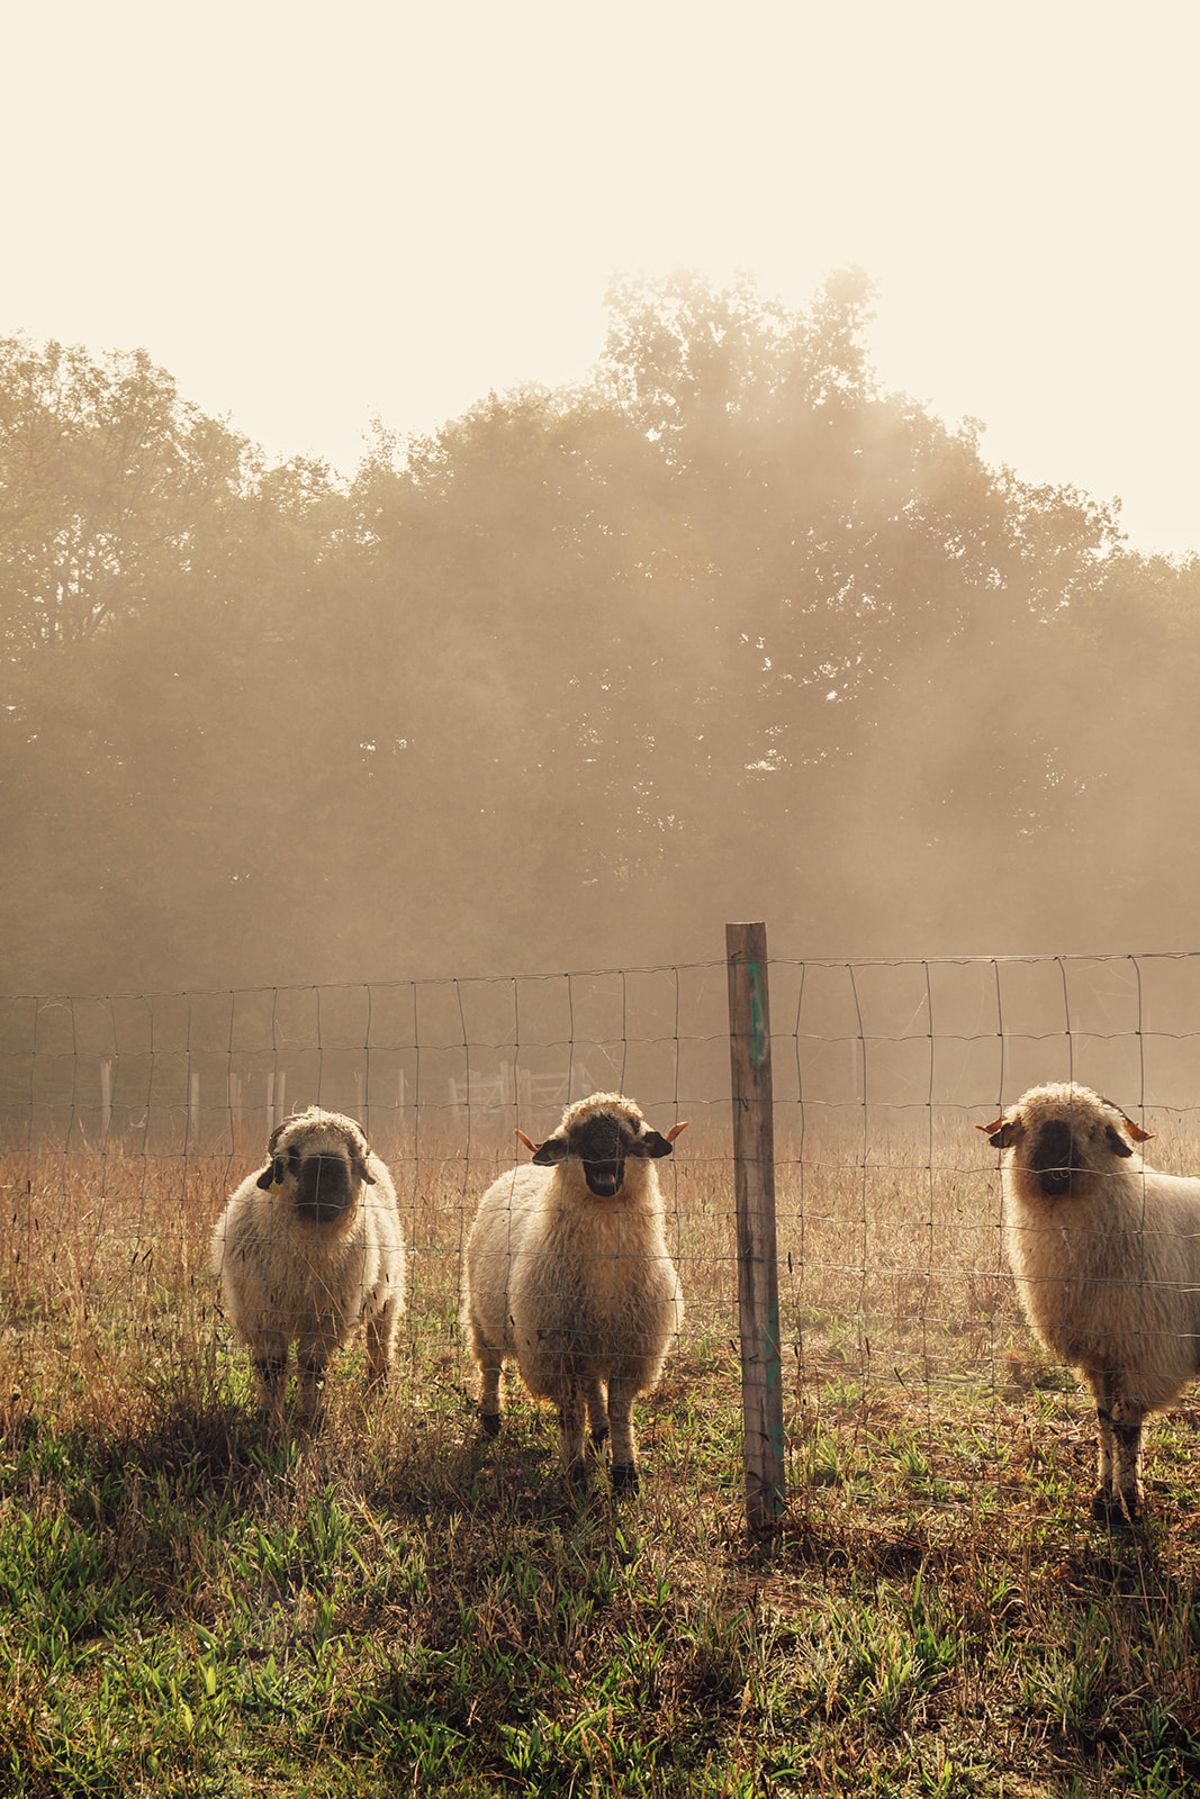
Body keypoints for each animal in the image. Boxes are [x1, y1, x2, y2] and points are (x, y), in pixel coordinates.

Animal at [212, 1106, 405, 1428]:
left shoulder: (325, 1321)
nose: (327, 1184)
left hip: (388, 1299)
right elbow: (272, 1369)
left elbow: (312, 1367)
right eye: (292, 1153)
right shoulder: (262, 1317)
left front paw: (310, 1418)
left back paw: (377, 1390)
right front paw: (270, 1420)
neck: (306, 1255)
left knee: (380, 1344)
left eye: (351, 1152)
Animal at [461, 1091, 686, 1492]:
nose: (602, 1153)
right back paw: (490, 1420)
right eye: (578, 1133)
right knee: (490, 1367)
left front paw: (625, 1473)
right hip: (480, 1315)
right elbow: (569, 1411)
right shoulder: (556, 1350)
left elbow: (620, 1409)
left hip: (589, 1340)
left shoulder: (630, 1350)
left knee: (592, 1386)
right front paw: (575, 1472)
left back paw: (599, 1430)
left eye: (630, 1127)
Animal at [980, 1081, 1200, 1521]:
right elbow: (1103, 1422)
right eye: (1025, 1125)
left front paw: (1130, 1503)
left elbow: (1126, 1427)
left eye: (1093, 1130)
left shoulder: (1143, 1352)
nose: (1055, 1166)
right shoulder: (1100, 1354)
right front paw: (1103, 1496)